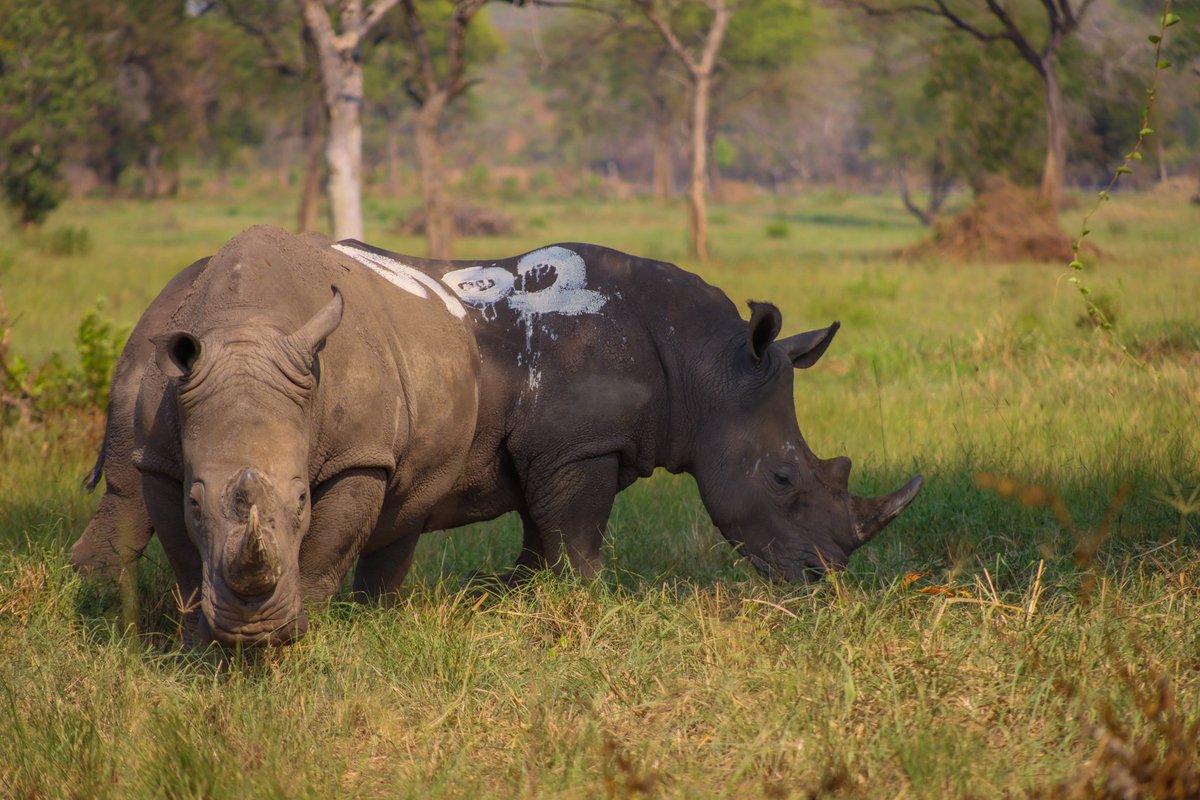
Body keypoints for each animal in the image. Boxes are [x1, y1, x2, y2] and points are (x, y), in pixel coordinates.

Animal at [74, 231, 921, 625]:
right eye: (782, 479)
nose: (820, 582)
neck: (704, 366)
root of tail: (170, 299)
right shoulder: (582, 449)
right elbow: (575, 537)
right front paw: (585, 607)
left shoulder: (557, 450)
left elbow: (544, 536)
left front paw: (516, 598)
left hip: (159, 351)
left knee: (130, 481)